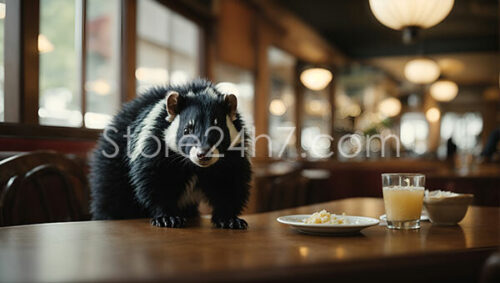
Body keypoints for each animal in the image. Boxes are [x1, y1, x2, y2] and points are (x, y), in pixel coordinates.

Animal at [89, 79, 250, 230]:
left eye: (219, 131)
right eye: (187, 130)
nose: (203, 154)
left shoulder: (232, 156)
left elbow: (229, 184)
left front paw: (229, 218)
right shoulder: (154, 144)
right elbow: (156, 181)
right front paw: (167, 217)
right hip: (111, 166)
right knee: (112, 196)